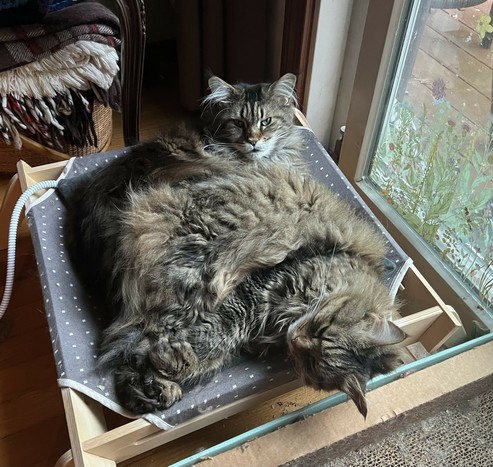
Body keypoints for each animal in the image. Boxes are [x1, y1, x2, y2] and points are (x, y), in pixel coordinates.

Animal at [59, 75, 406, 418]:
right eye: (239, 123)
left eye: (266, 121)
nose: (254, 141)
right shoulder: (262, 286)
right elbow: (217, 336)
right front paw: (170, 363)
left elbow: (215, 349)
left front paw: (164, 373)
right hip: (201, 273)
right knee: (137, 336)